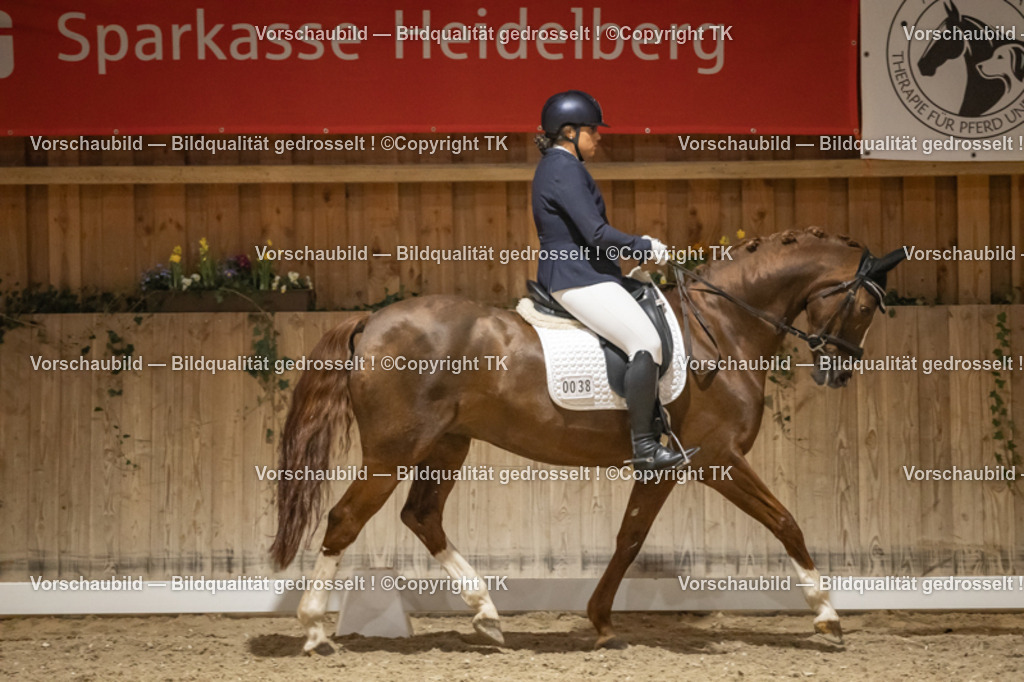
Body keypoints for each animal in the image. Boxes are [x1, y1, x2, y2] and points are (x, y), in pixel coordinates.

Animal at [270, 227, 906, 652]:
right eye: (865, 304)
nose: (840, 371)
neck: (723, 331)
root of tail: (371, 320)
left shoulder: (667, 465)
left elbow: (629, 537)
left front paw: (600, 621)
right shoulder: (718, 460)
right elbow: (785, 522)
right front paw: (827, 615)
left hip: (447, 446)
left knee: (421, 517)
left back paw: (486, 615)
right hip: (393, 452)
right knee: (345, 520)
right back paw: (317, 630)